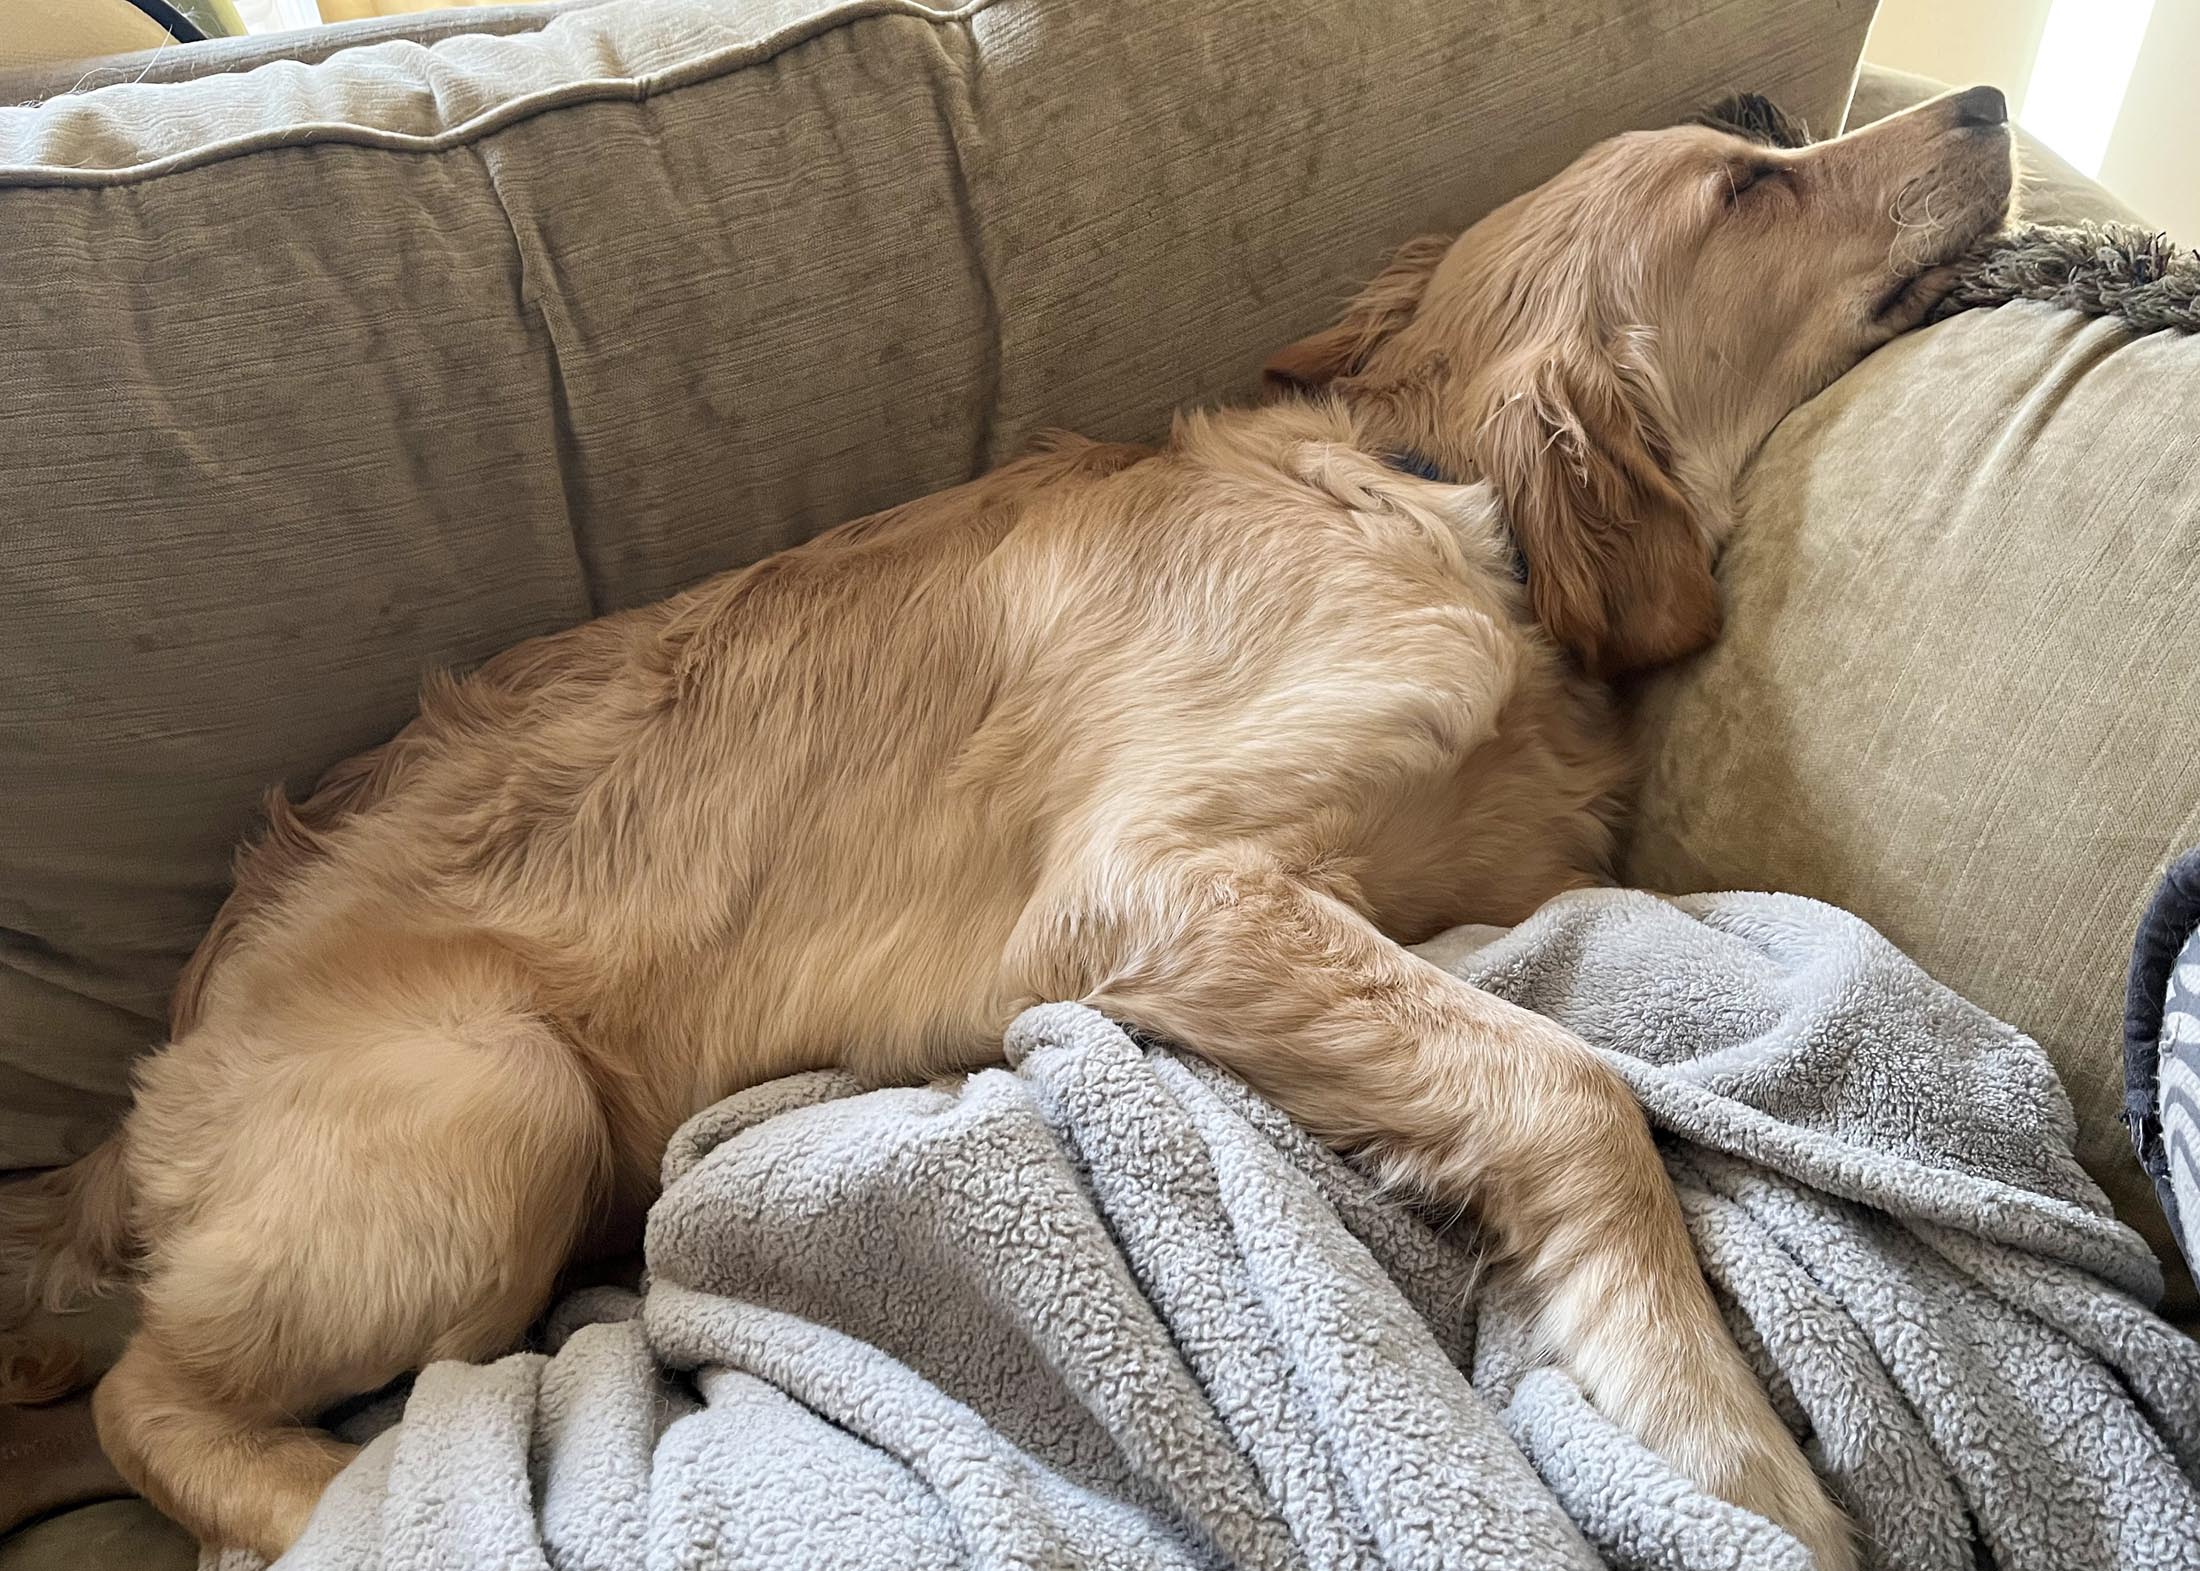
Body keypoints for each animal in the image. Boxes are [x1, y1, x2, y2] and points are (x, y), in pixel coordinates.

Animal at [1, 85, 2012, 1567]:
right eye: (1748, 186)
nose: (1988, 95)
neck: (1442, 496)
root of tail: (137, 1103)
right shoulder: (1150, 885)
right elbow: (1570, 1080)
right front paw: (1717, 1433)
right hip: (497, 1110)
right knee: (146, 1397)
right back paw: (323, 1503)